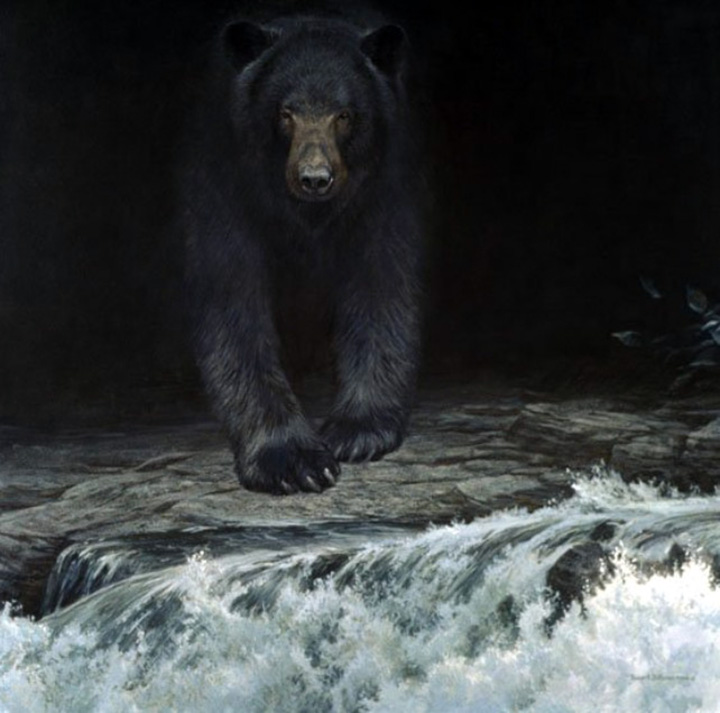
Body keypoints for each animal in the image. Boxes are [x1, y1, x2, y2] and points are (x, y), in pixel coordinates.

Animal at [181, 12, 424, 495]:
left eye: (344, 114)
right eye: (285, 112)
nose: (315, 178)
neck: (307, 215)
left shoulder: (382, 189)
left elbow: (381, 290)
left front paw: (358, 431)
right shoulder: (226, 184)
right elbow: (233, 311)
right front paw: (293, 460)